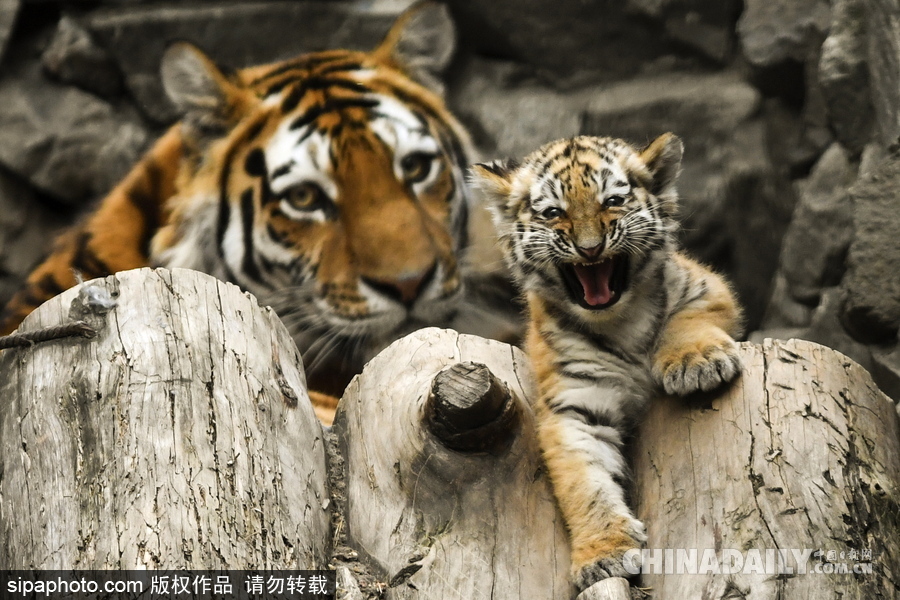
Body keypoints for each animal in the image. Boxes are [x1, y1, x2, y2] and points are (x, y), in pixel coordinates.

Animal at [469, 133, 743, 590]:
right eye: (554, 212)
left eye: (612, 201)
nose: (590, 248)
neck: (619, 321)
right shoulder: (576, 406)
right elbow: (586, 484)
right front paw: (604, 553)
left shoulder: (709, 288)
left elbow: (686, 318)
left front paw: (696, 364)